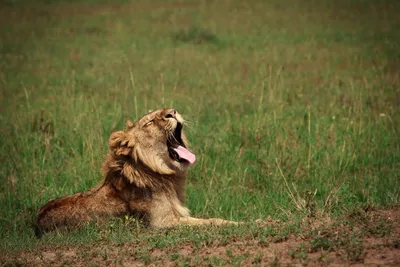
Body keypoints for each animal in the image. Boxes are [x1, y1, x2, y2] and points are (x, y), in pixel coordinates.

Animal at [36, 108, 236, 238]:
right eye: (149, 122)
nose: (172, 111)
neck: (167, 178)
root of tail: (35, 223)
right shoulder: (162, 224)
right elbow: (209, 223)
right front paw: (243, 224)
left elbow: (212, 219)